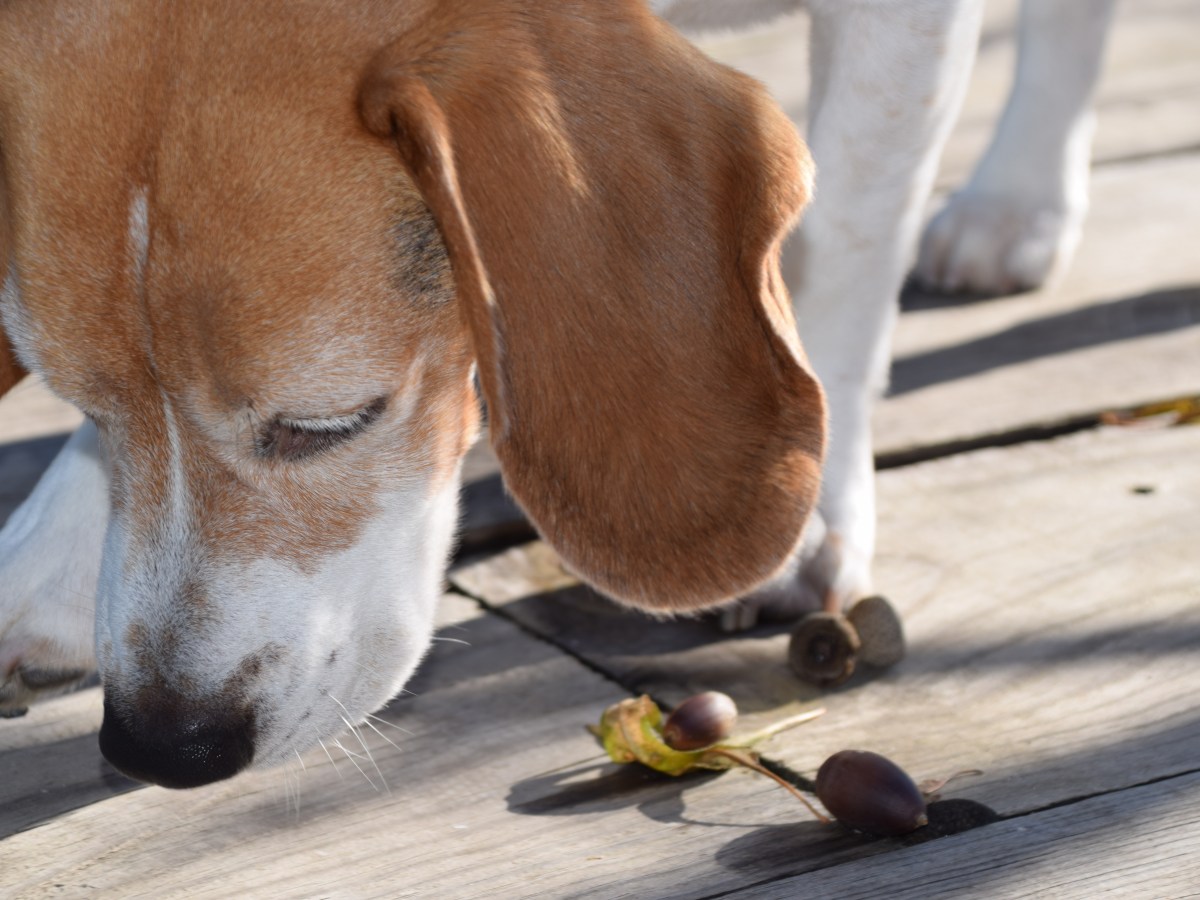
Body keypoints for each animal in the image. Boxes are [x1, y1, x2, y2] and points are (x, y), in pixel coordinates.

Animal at [0, 0, 1104, 787]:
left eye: (327, 424)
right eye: (78, 402)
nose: (163, 748)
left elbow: (843, 237)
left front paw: (808, 527)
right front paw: (46, 566)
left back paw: (1017, 197)